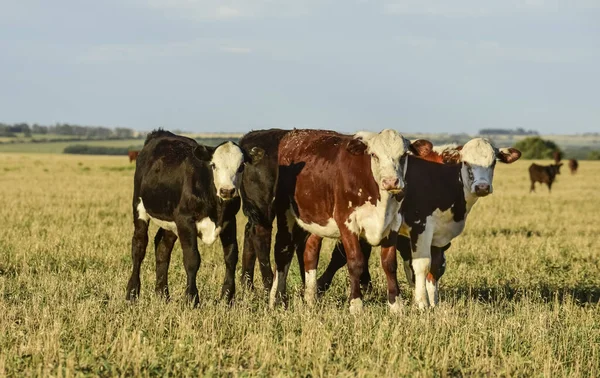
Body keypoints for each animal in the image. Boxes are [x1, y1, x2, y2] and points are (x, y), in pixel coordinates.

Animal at [125, 128, 264, 306]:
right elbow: (192, 259)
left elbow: (231, 256)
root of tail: (159, 134)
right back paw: (132, 293)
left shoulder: (229, 221)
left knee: (162, 247)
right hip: (140, 207)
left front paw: (227, 297)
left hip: (171, 221)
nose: (227, 190)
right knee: (139, 246)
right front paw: (192, 298)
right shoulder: (186, 221)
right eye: (214, 165)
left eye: (241, 167)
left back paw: (163, 294)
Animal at [268, 128, 432, 314]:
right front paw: (356, 304)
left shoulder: (393, 224)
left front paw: (395, 304)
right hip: (285, 213)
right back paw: (276, 300)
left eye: (403, 155)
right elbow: (355, 262)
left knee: (310, 252)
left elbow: (389, 264)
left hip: (317, 220)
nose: (391, 181)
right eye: (374, 155)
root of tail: (294, 135)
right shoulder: (347, 222)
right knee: (282, 251)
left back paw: (310, 298)